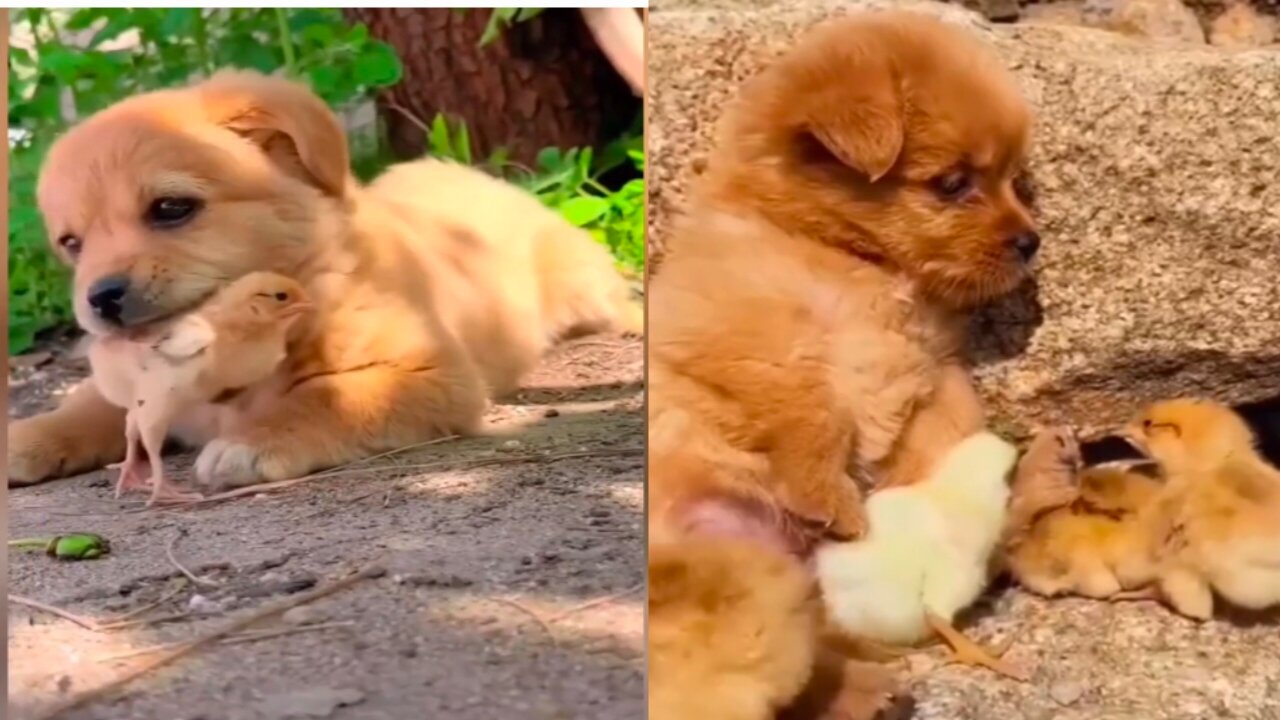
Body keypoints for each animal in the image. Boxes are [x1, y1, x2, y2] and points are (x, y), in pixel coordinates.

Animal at [10, 68, 640, 486]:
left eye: (171, 208)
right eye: (72, 244)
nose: (101, 298)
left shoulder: (432, 373)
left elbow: (327, 397)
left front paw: (254, 442)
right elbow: (90, 405)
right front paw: (32, 437)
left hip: (585, 286)